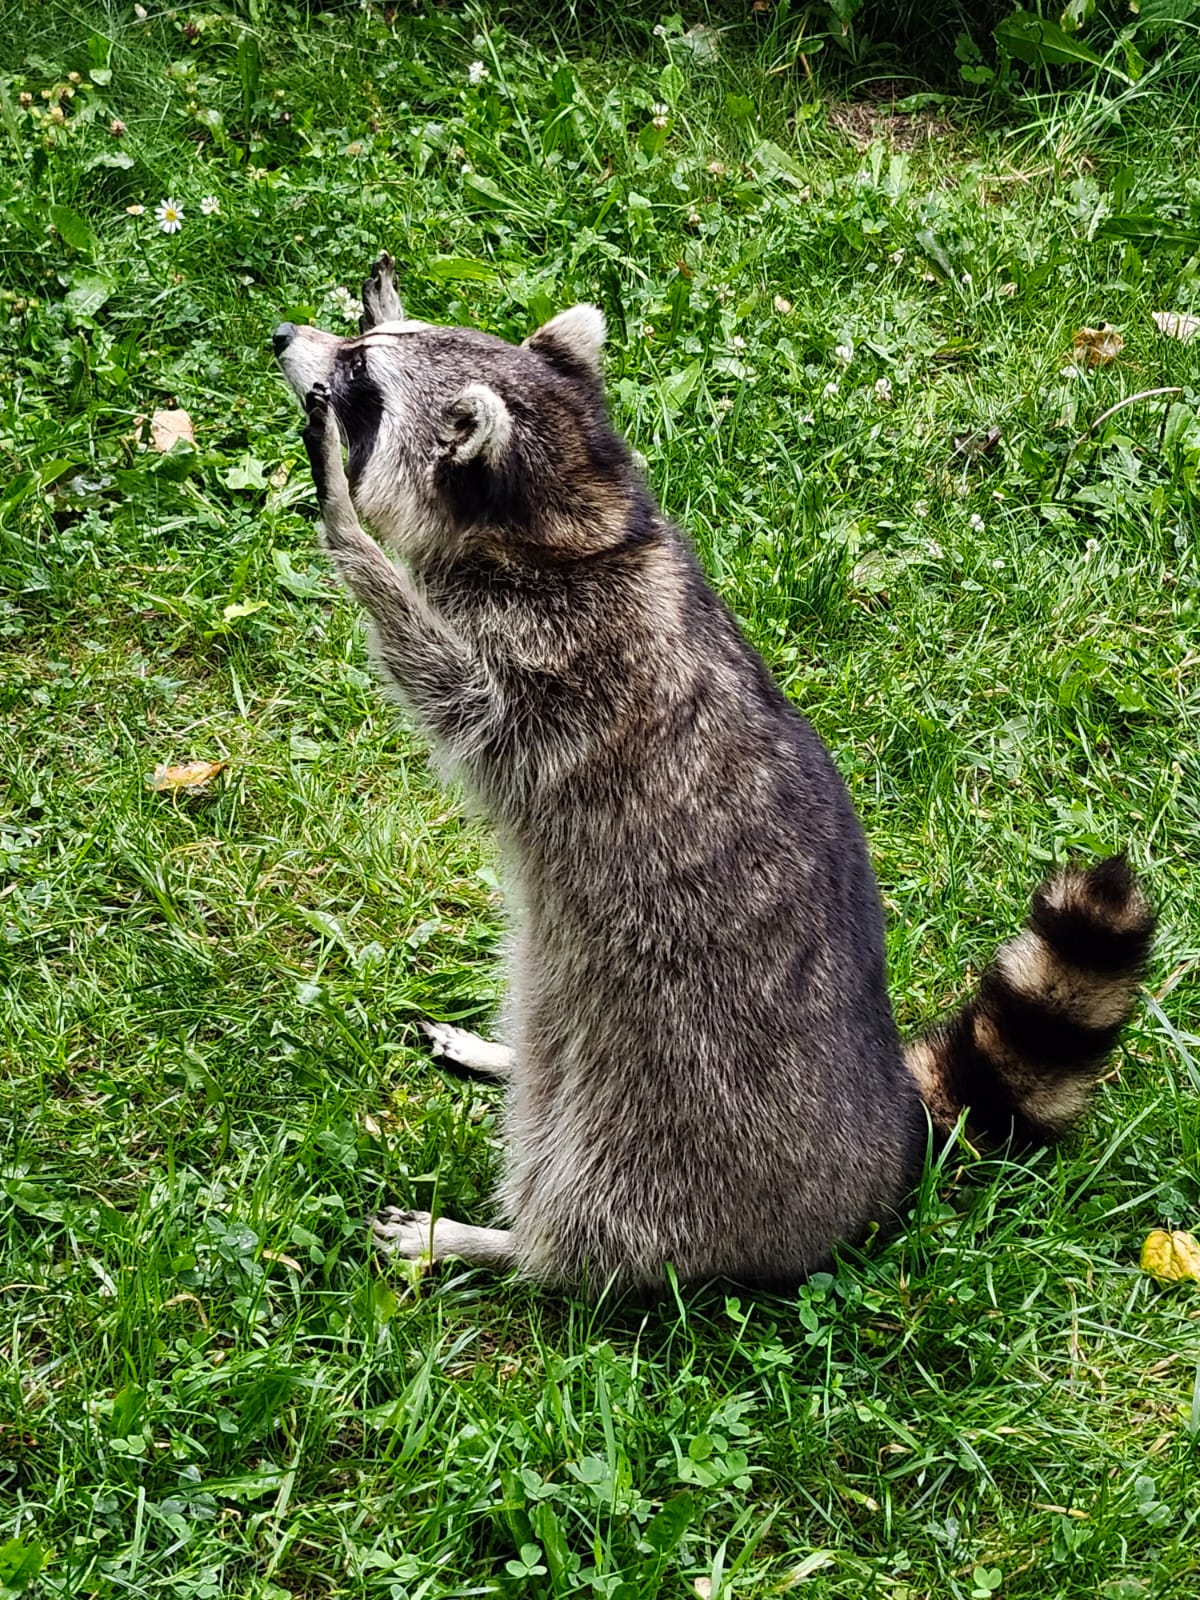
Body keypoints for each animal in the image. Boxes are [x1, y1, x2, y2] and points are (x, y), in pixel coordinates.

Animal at [272, 252, 1154, 1294]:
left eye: (360, 386)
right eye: (365, 351)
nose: (287, 341)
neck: (577, 516)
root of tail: (889, 1146)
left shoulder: (553, 672)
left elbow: (438, 680)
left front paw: (346, 523)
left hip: (686, 1096)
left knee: (593, 1185)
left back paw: (511, 1245)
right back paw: (512, 1057)